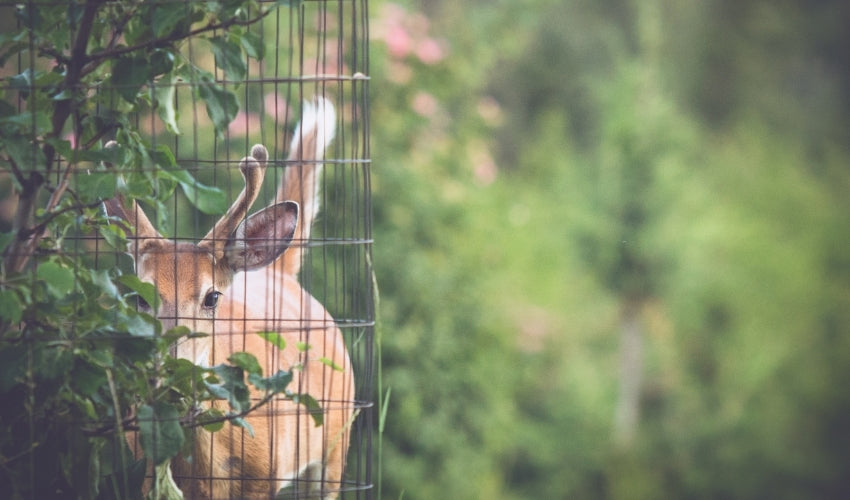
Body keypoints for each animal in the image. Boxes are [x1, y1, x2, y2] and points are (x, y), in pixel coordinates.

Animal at [103, 98, 354, 499]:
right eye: (139, 298)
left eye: (212, 297)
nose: (171, 370)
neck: (210, 474)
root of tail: (278, 272)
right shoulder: (146, 473)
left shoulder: (266, 477)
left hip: (334, 445)